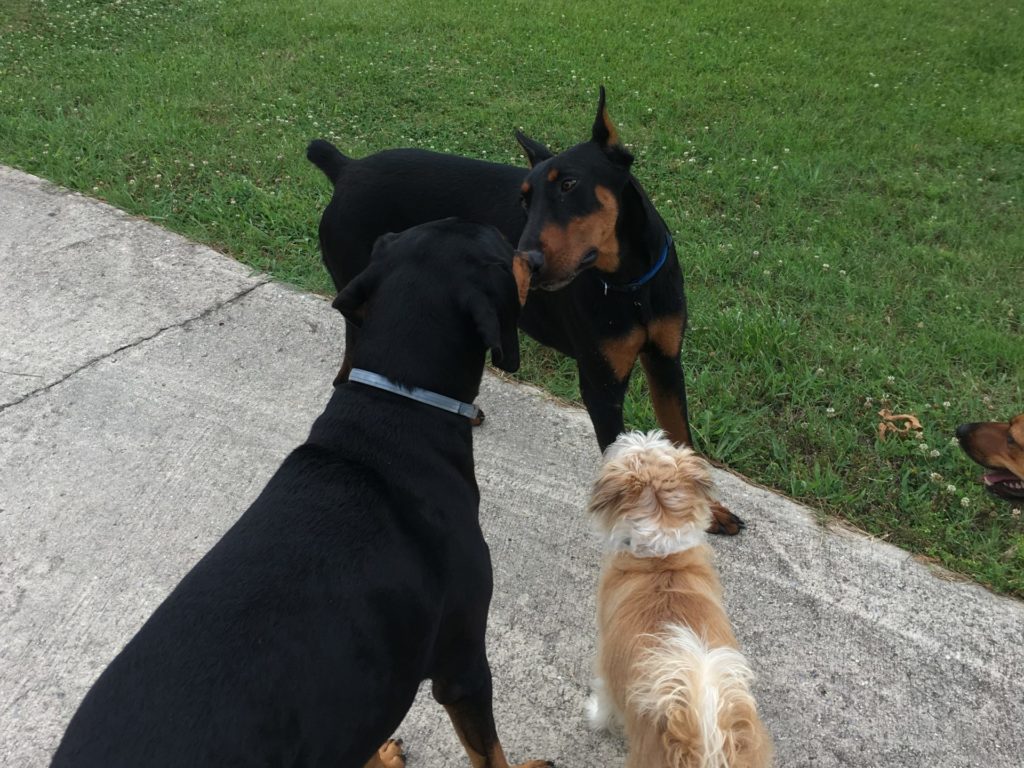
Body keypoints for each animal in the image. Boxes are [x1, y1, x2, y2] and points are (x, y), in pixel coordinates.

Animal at [585, 434, 770, 768]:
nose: (620, 436)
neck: (661, 558)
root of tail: (705, 745)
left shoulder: (606, 662)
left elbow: (604, 699)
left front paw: (595, 716)